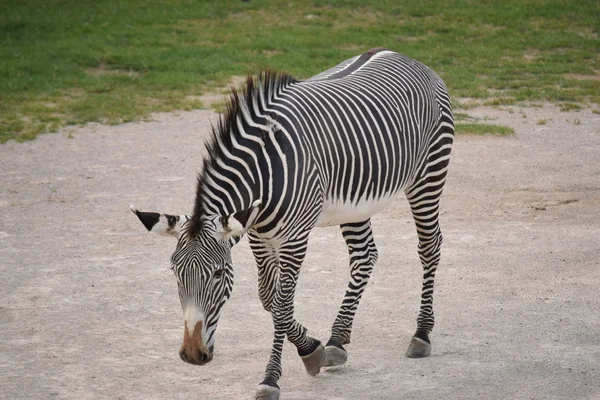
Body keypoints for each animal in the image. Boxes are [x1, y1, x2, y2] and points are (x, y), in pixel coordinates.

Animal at [130, 47, 450, 400]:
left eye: (217, 274)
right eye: (175, 272)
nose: (192, 355)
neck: (265, 173)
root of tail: (402, 55)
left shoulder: (295, 239)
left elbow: (282, 306)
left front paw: (273, 377)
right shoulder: (258, 236)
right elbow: (268, 298)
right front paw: (313, 347)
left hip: (428, 175)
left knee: (429, 247)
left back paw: (421, 334)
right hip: (354, 205)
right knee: (365, 256)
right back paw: (337, 339)